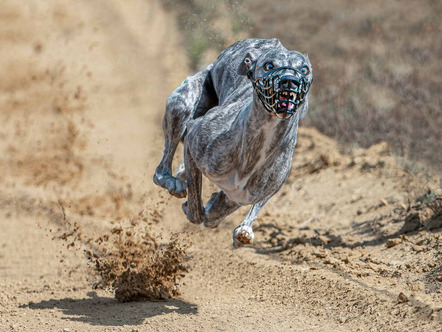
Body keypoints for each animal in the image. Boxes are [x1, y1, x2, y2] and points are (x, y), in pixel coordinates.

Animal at [154, 38, 312, 246]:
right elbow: (197, 212)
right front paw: (193, 206)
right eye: (268, 65)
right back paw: (173, 182)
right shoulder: (193, 141)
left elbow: (223, 214)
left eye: (304, 69)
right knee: (161, 169)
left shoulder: (256, 192)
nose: (290, 82)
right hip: (182, 104)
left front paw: (238, 225)